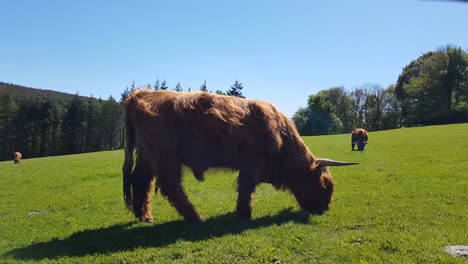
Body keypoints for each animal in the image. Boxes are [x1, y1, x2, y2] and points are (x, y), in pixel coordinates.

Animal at [121, 90, 358, 223]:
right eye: (325, 185)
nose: (324, 208)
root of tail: (140, 94)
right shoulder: (252, 164)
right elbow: (246, 189)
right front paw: (244, 214)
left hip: (147, 155)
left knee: (141, 180)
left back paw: (144, 216)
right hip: (166, 156)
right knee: (170, 186)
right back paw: (196, 217)